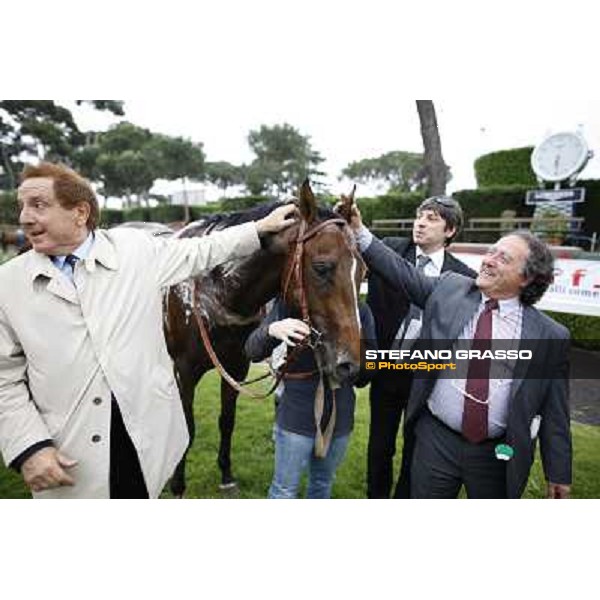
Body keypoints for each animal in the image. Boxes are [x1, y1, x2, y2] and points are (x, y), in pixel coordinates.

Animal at [162, 182, 364, 496]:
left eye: (363, 272)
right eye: (322, 268)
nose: (349, 365)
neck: (216, 293)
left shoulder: (235, 368)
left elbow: (227, 420)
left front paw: (226, 474)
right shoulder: (184, 371)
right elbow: (188, 426)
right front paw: (177, 484)